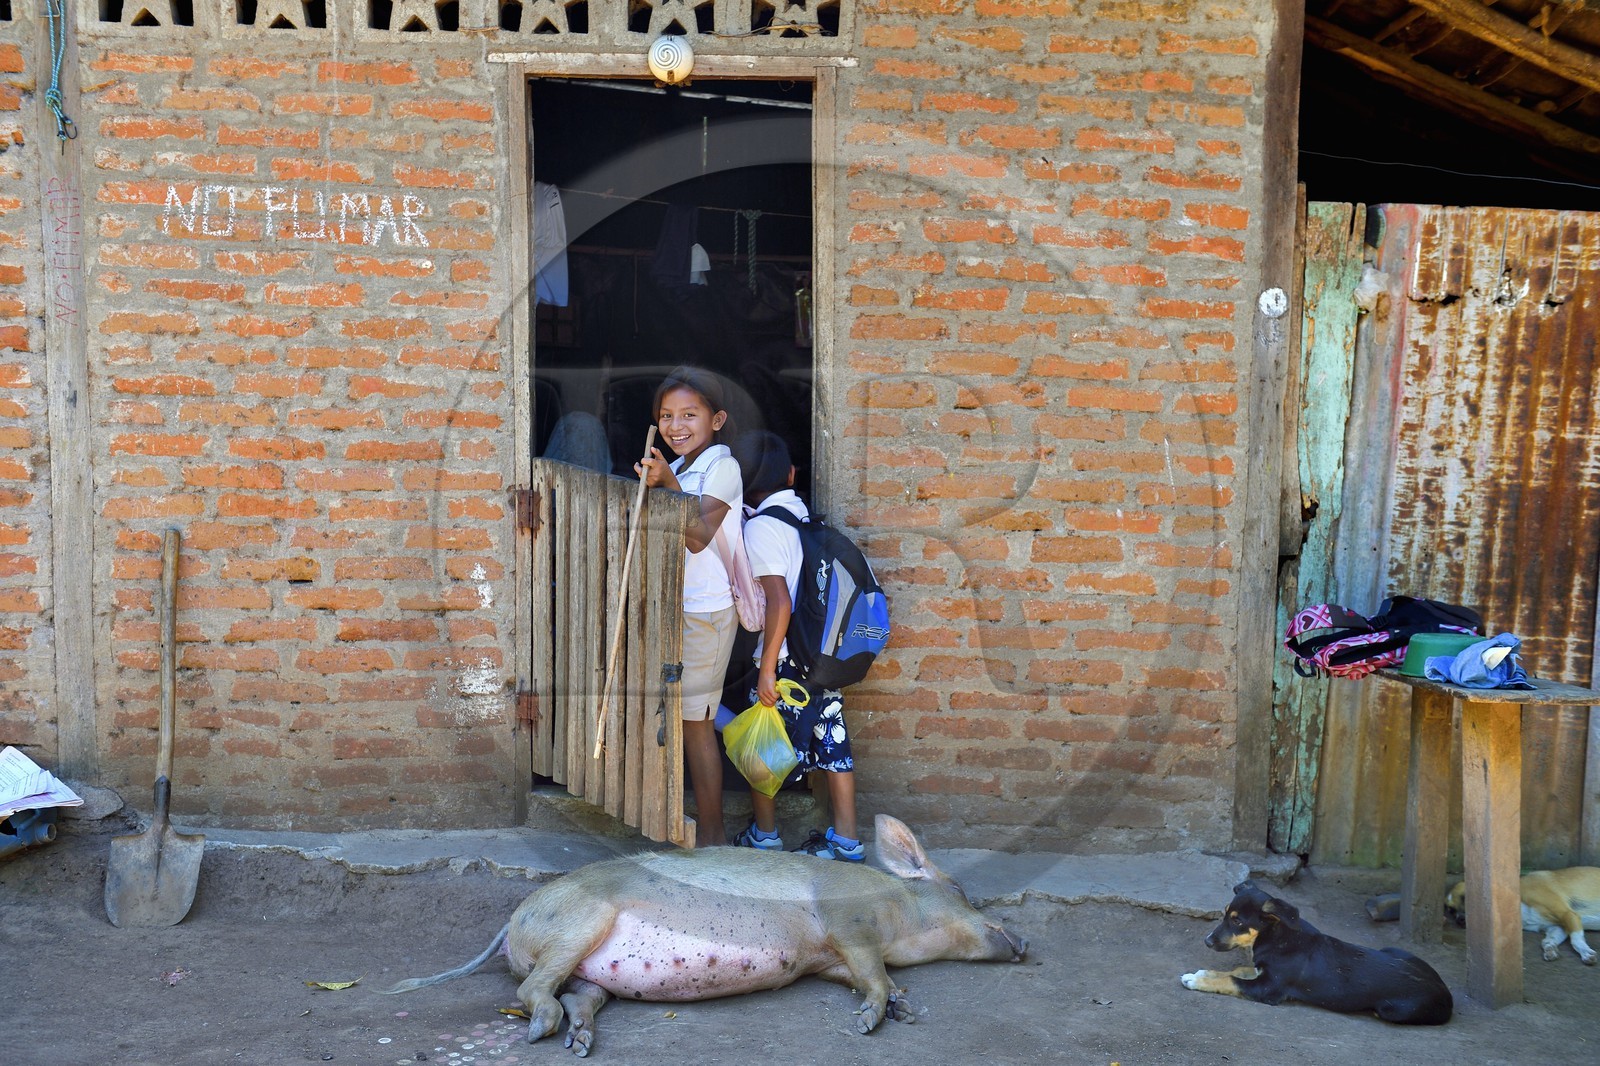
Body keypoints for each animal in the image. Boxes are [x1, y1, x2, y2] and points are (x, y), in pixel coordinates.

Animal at [382, 814, 1027, 1057]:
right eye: (962, 890)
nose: (1023, 944)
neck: (893, 910)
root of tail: (514, 922)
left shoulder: (828, 960)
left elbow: (870, 978)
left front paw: (904, 1010)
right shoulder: (851, 928)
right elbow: (874, 973)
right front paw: (872, 1023)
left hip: (597, 974)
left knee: (579, 997)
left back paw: (580, 1043)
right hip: (579, 925)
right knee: (529, 992)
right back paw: (543, 1032)